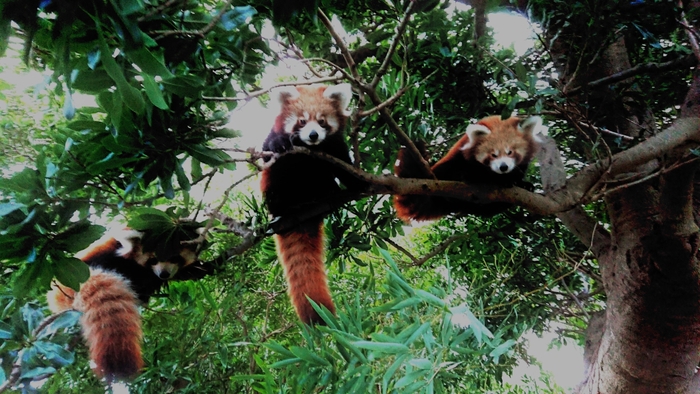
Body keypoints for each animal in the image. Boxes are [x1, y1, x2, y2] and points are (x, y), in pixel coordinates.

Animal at [260, 82, 364, 324]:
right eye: (302, 121)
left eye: (322, 120)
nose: (314, 135)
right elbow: (269, 151)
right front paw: (280, 144)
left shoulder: (335, 147)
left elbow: (343, 166)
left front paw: (357, 181)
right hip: (276, 189)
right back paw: (283, 208)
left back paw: (328, 194)